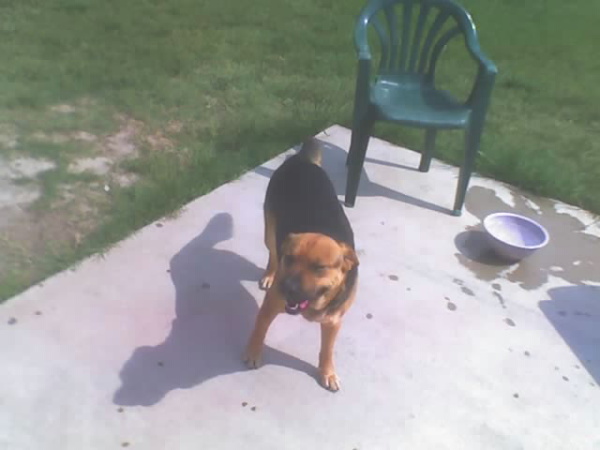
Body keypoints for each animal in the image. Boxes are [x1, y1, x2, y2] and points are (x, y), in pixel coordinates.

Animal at [243, 137, 359, 391]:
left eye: (319, 268)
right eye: (290, 259)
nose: (287, 288)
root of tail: (302, 160)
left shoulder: (333, 321)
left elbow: (327, 350)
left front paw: (327, 372)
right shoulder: (271, 305)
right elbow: (259, 329)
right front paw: (253, 353)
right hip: (270, 232)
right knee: (272, 253)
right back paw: (269, 274)